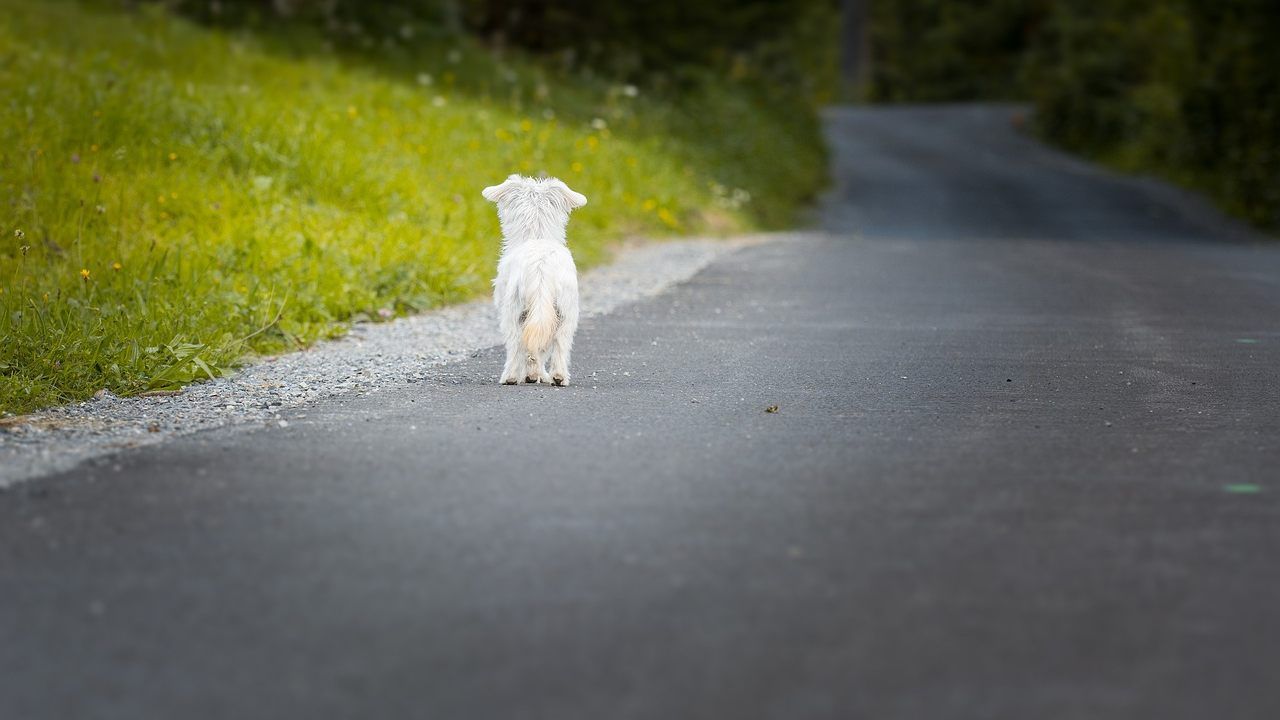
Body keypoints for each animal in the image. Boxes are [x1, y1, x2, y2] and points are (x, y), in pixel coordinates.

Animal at [481, 174, 586, 384]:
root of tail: (541, 267)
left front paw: (532, 374)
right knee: (560, 343)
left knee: (516, 344)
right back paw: (558, 377)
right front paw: (537, 374)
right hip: (566, 312)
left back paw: (511, 377)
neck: (536, 235)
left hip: (512, 311)